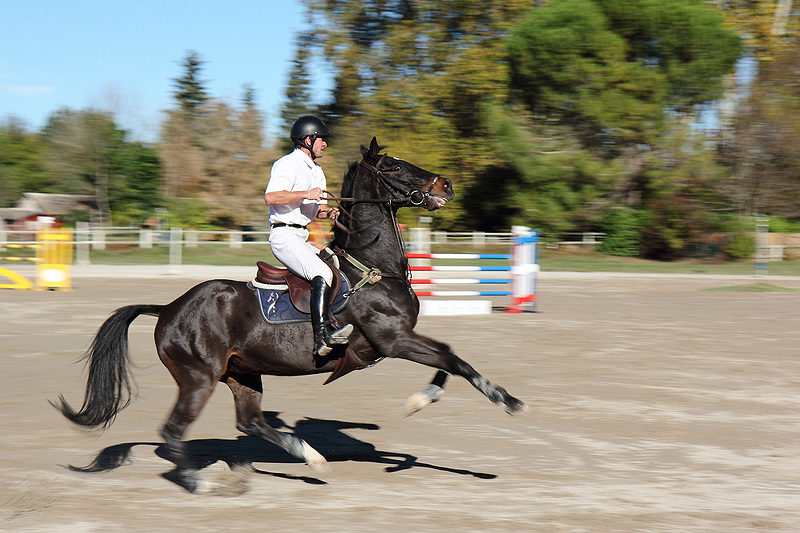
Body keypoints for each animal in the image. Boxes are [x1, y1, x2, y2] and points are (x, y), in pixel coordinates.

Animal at [53, 137, 527, 492]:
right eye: (393, 166)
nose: (446, 185)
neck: (372, 267)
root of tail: (169, 308)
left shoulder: (399, 340)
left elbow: (448, 357)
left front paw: (424, 400)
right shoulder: (393, 339)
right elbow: (453, 357)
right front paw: (503, 399)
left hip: (242, 374)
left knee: (249, 422)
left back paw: (309, 457)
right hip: (198, 377)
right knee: (173, 432)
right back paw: (202, 482)